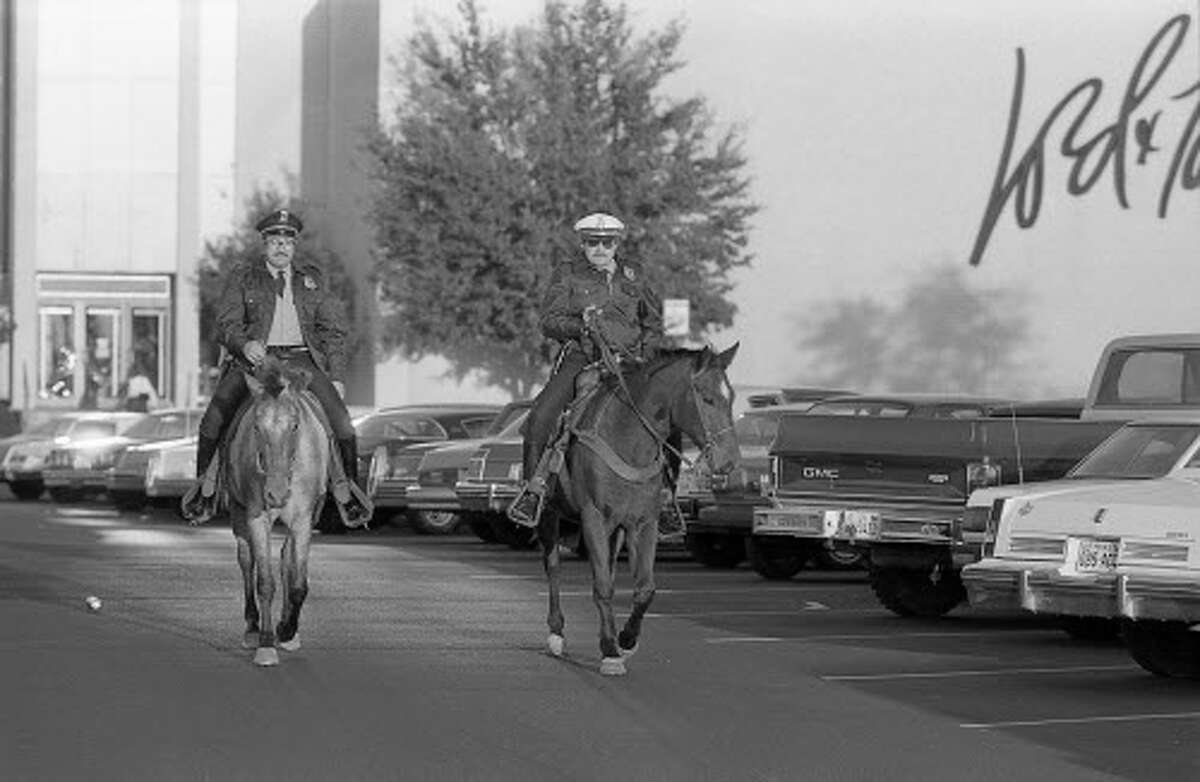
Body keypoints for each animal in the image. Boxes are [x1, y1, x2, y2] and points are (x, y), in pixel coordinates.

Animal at [222, 357, 331, 662]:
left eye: (295, 425)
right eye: (257, 427)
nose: (277, 493)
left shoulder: (304, 520)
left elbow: (298, 582)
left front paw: (288, 630)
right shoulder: (256, 518)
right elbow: (265, 582)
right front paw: (267, 643)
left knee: (286, 561)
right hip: (238, 513)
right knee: (246, 561)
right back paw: (252, 628)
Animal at [537, 345, 739, 676]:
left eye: (731, 397)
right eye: (707, 398)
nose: (730, 461)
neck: (628, 440)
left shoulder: (643, 523)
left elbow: (644, 588)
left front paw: (625, 640)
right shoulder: (593, 518)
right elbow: (602, 586)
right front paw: (610, 651)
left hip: (615, 530)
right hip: (549, 515)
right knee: (552, 565)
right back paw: (556, 633)